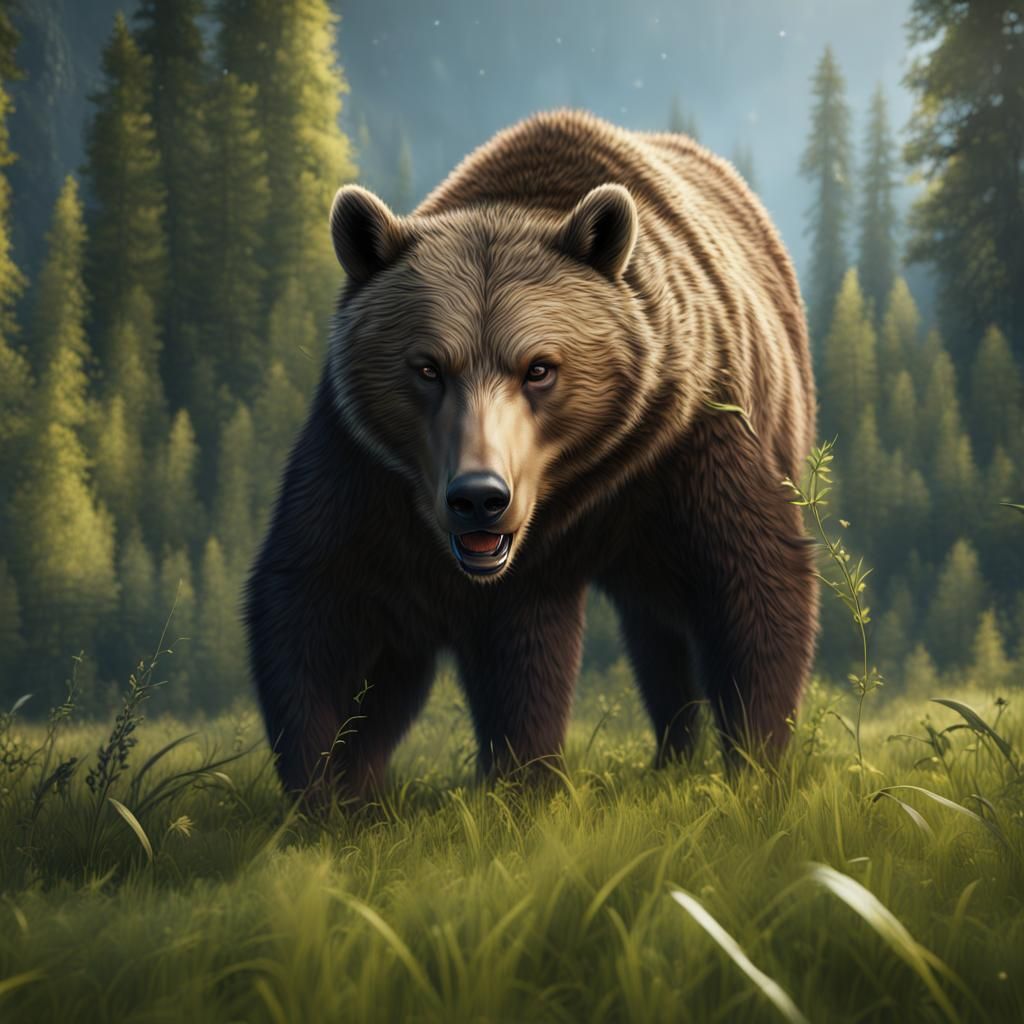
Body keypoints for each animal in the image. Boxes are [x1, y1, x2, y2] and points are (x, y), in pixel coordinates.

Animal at [245, 109, 819, 800]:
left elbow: (753, 578)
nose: (479, 497)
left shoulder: (691, 437)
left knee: (660, 626)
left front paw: (758, 764)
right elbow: (318, 598)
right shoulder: (365, 469)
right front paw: (327, 783)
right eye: (428, 366)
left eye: (539, 368)